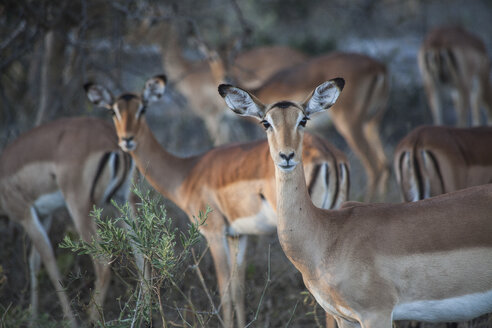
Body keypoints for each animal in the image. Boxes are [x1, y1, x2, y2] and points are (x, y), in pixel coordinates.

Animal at [0, 116, 135, 326]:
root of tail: (113, 143)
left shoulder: (25, 214)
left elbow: (50, 263)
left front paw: (69, 322)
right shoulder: (44, 216)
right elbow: (34, 261)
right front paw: (32, 319)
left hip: (80, 209)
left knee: (103, 262)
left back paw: (92, 320)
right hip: (125, 201)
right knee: (142, 253)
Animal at [86, 75, 352, 328]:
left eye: (142, 108)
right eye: (113, 110)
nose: (126, 139)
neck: (187, 172)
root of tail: (331, 155)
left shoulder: (214, 234)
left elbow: (224, 292)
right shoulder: (238, 235)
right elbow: (238, 291)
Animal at [219, 79, 492, 328]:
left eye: (303, 120)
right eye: (266, 122)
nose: (287, 156)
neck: (327, 234)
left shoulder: (376, 314)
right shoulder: (344, 317)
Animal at [250, 52, 392, 201]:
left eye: (303, 120)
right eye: (266, 123)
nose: (287, 156)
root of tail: (380, 67)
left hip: (350, 126)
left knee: (375, 166)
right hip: (372, 124)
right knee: (385, 165)